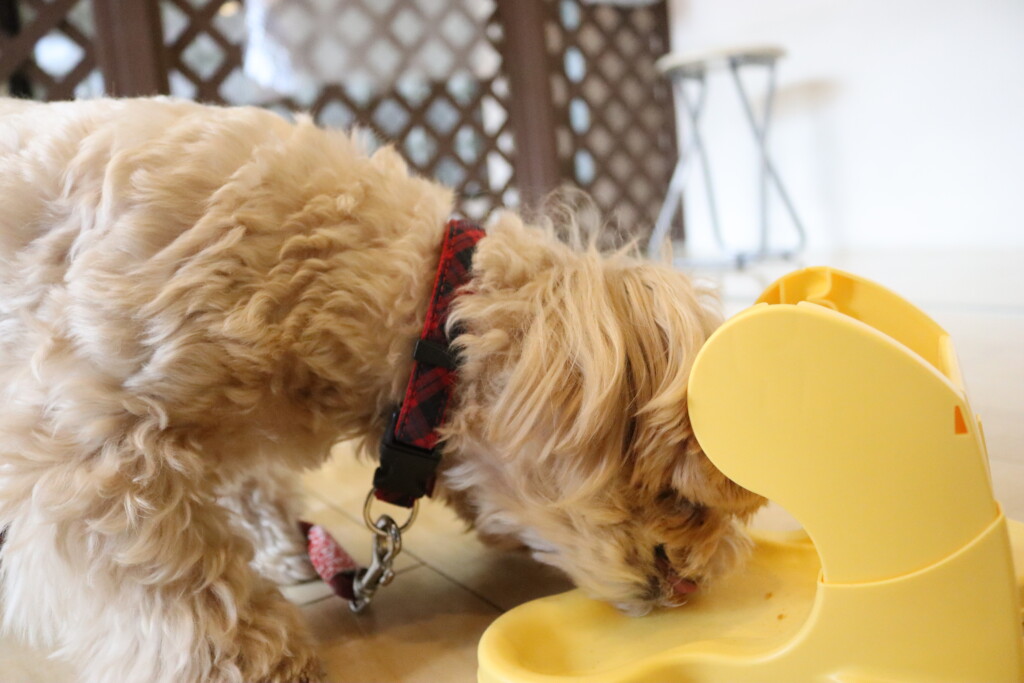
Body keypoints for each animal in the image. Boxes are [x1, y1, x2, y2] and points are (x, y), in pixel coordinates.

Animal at [0, 98, 765, 683]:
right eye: (680, 499)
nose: (694, 582)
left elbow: (249, 489)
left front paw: (284, 548)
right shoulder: (92, 449)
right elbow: (179, 584)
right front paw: (251, 662)